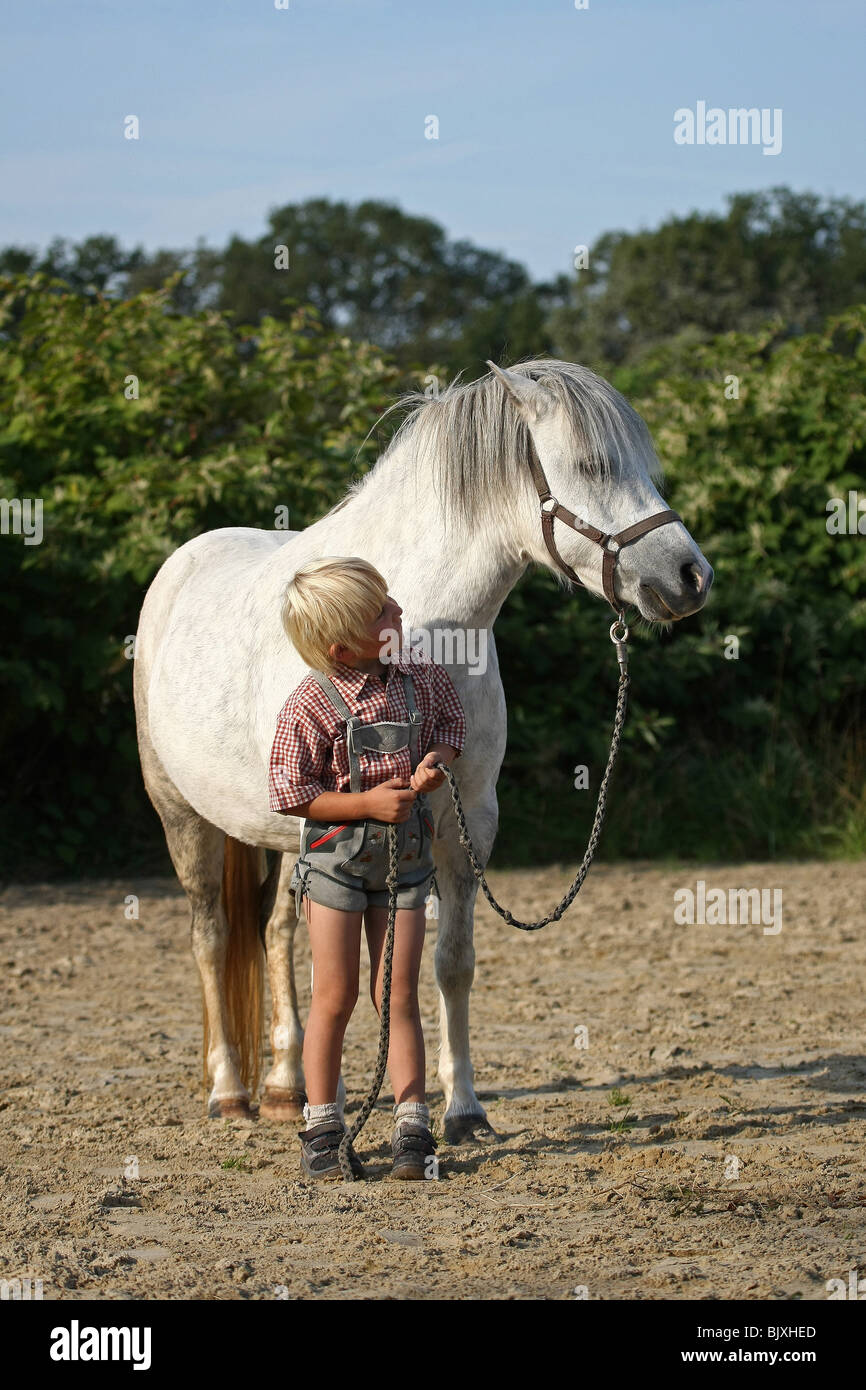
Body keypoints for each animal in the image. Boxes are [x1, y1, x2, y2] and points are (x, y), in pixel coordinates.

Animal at [134, 355, 711, 1139]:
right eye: (591, 464)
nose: (691, 577)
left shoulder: (468, 820)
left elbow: (449, 963)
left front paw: (462, 1109)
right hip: (183, 815)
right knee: (212, 934)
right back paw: (229, 1091)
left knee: (275, 934)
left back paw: (283, 1087)